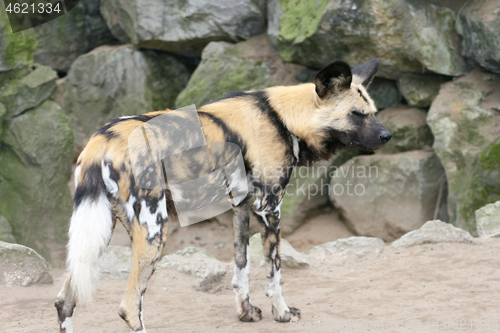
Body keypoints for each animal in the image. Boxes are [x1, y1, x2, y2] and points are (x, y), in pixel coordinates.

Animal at [54, 58, 390, 330]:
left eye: (373, 112)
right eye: (357, 114)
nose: (387, 135)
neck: (284, 119)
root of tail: (102, 138)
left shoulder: (241, 207)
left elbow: (242, 266)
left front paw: (246, 313)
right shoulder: (269, 209)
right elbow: (275, 274)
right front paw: (281, 313)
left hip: (101, 230)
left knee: (65, 300)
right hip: (154, 232)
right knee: (129, 308)